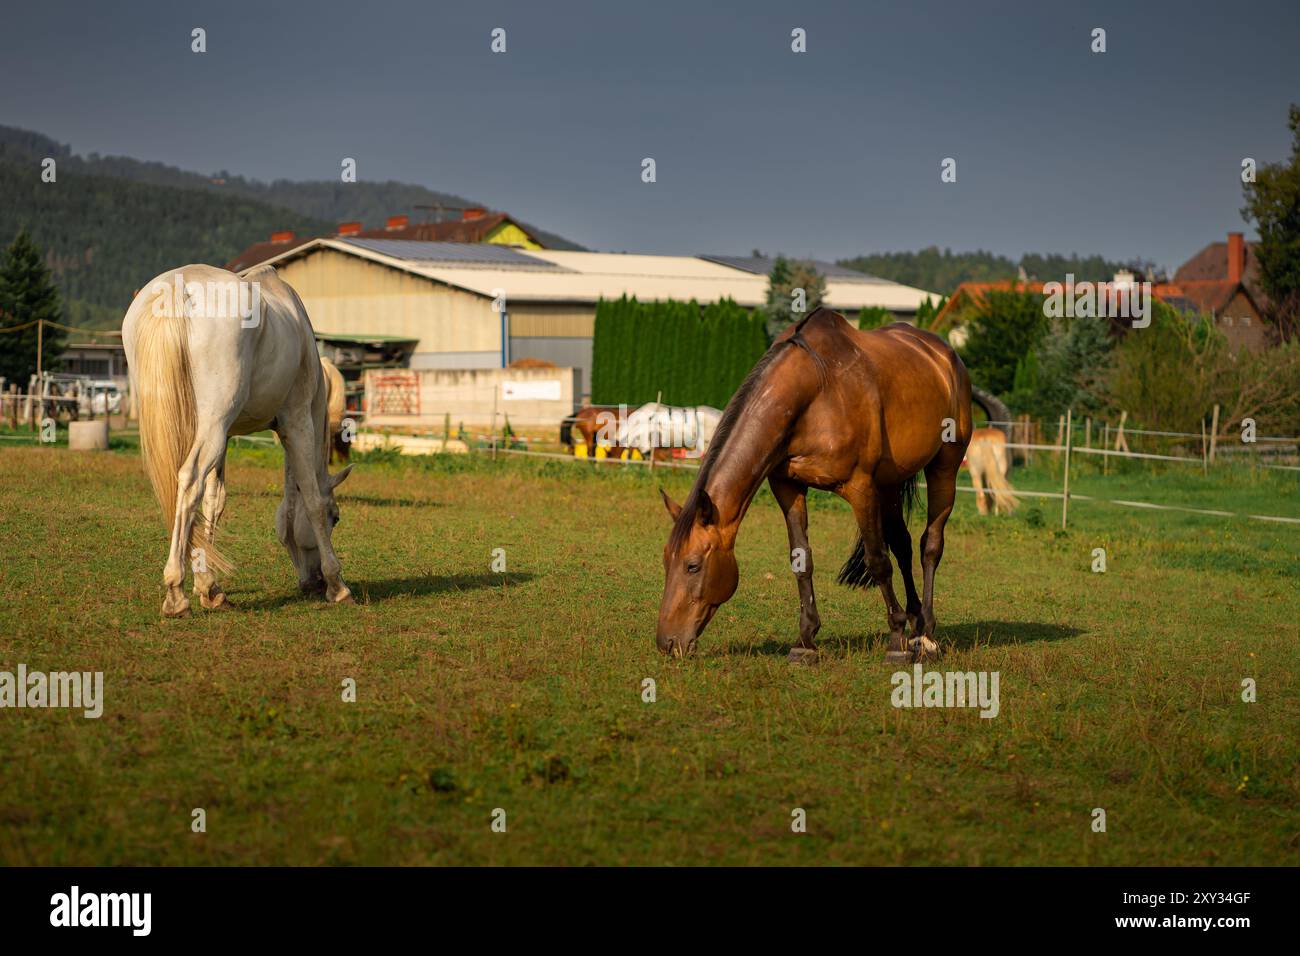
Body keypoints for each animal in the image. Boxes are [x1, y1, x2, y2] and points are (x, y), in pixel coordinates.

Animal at [122, 264, 353, 621]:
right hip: (213, 428)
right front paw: (337, 584)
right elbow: (312, 499)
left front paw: (207, 586)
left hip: (208, 430)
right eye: (336, 517)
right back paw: (175, 593)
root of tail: (178, 287)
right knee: (189, 481)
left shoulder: (227, 436)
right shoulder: (297, 423)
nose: (312, 582)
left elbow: (215, 501)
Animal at [655, 308, 972, 665]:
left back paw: (926, 635)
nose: (667, 642)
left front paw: (895, 638)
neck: (816, 387)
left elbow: (878, 561)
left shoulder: (860, 487)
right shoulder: (787, 486)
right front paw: (805, 640)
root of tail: (945, 355)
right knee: (902, 545)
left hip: (945, 466)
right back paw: (916, 622)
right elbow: (801, 558)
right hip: (890, 483)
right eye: (666, 561)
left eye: (692, 566)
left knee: (929, 545)